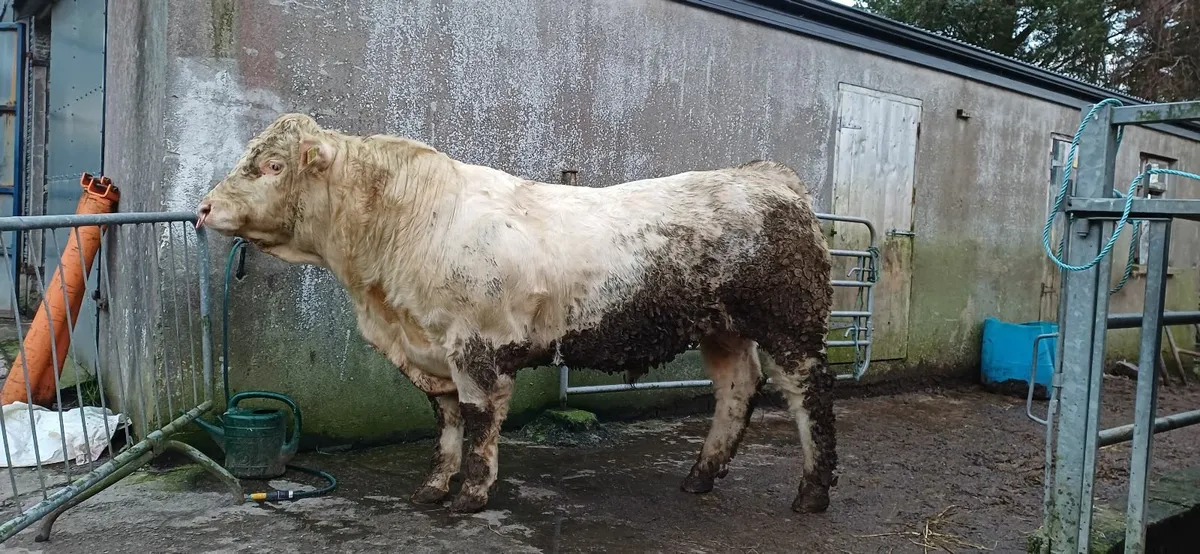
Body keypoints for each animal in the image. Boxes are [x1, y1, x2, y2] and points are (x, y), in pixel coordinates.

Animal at [196, 113, 836, 515]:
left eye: (273, 166)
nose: (203, 208)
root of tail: (765, 175)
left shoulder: (475, 347)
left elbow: (479, 422)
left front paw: (471, 496)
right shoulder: (431, 352)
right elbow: (447, 424)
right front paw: (433, 487)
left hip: (790, 323)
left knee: (808, 395)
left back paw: (813, 492)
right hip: (722, 327)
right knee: (737, 387)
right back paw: (700, 477)